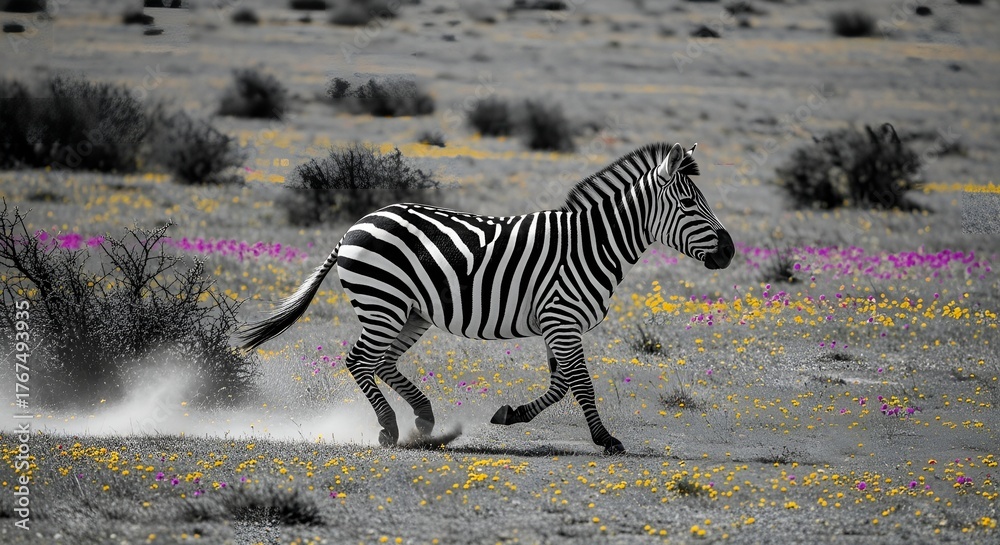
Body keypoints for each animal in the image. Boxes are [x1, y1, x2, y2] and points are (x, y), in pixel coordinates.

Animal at [238, 142, 734, 454]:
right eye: (689, 205)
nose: (730, 251)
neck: (591, 245)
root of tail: (355, 225)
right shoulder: (562, 318)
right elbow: (581, 384)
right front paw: (607, 440)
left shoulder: (558, 324)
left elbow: (561, 384)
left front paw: (510, 414)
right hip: (384, 303)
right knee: (360, 360)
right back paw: (390, 428)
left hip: (411, 312)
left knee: (383, 362)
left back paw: (424, 418)